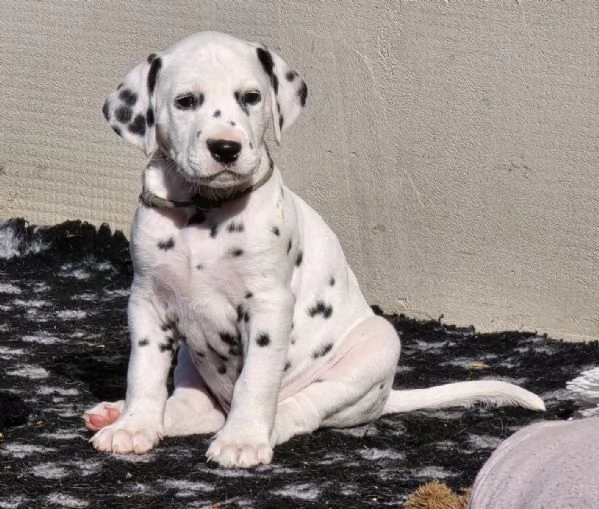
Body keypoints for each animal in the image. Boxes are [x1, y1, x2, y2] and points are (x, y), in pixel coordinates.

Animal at [82, 32, 548, 468]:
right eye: (185, 101)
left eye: (251, 97)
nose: (226, 148)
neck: (202, 210)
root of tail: (386, 397)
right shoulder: (148, 300)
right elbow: (144, 372)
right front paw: (133, 426)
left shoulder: (268, 304)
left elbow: (256, 379)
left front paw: (243, 439)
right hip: (193, 365)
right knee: (193, 406)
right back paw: (121, 414)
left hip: (375, 347)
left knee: (302, 409)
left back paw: (262, 428)